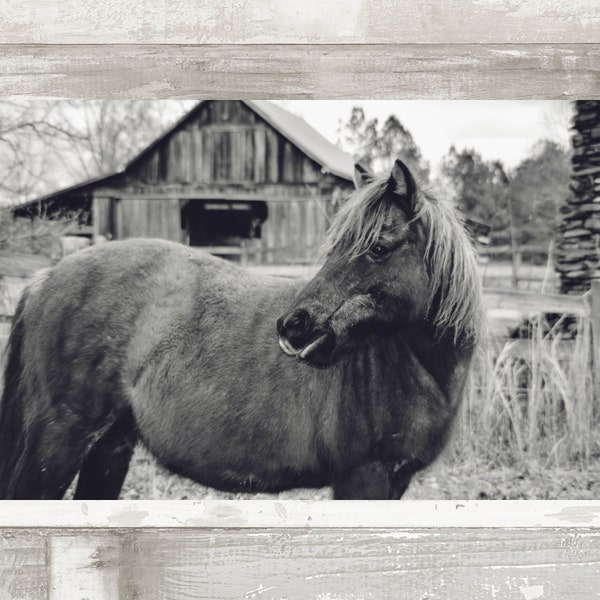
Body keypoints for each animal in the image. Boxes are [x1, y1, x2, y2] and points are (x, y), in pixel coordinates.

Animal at [0, 161, 482, 502]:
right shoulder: (363, 480)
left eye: (379, 248)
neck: (412, 369)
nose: (293, 325)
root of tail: (46, 277)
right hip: (58, 443)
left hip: (109, 447)